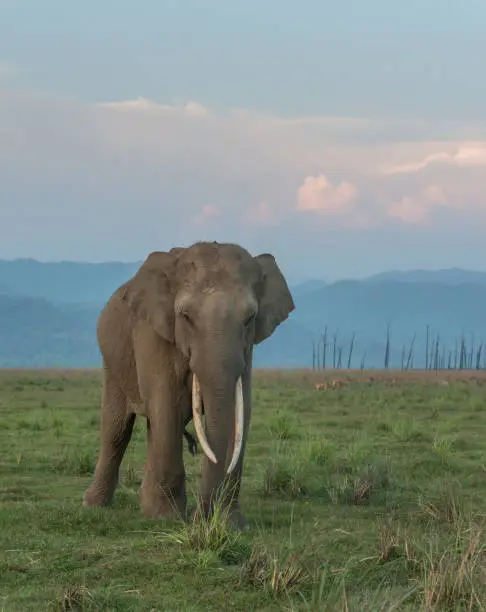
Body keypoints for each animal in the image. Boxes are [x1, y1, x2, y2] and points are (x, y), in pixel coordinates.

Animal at [83, 241, 294, 528]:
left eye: (250, 317)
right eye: (185, 316)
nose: (202, 517)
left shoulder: (247, 349)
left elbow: (241, 412)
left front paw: (231, 524)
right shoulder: (153, 333)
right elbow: (166, 408)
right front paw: (167, 518)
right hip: (113, 362)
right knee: (117, 429)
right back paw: (94, 505)